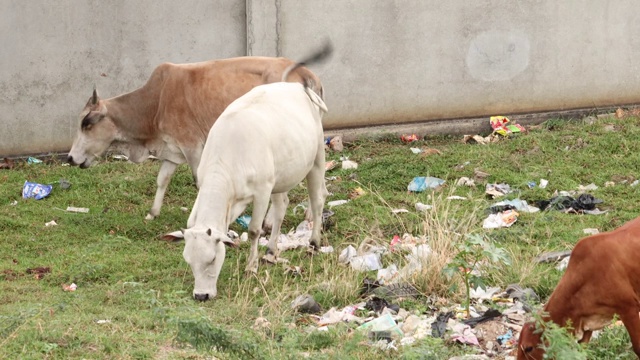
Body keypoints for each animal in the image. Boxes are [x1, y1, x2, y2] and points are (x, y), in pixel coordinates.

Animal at [67, 44, 332, 221]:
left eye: (86, 123)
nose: (70, 158)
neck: (155, 103)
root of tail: (307, 74)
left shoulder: (193, 146)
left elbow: (198, 182)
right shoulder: (172, 151)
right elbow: (162, 180)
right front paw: (152, 213)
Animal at [165, 81, 328, 300]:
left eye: (212, 258)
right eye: (188, 260)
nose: (201, 295)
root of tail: (296, 85)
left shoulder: (262, 191)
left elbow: (254, 231)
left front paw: (251, 266)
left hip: (317, 156)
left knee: (318, 199)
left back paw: (314, 242)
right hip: (280, 175)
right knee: (281, 207)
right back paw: (271, 250)